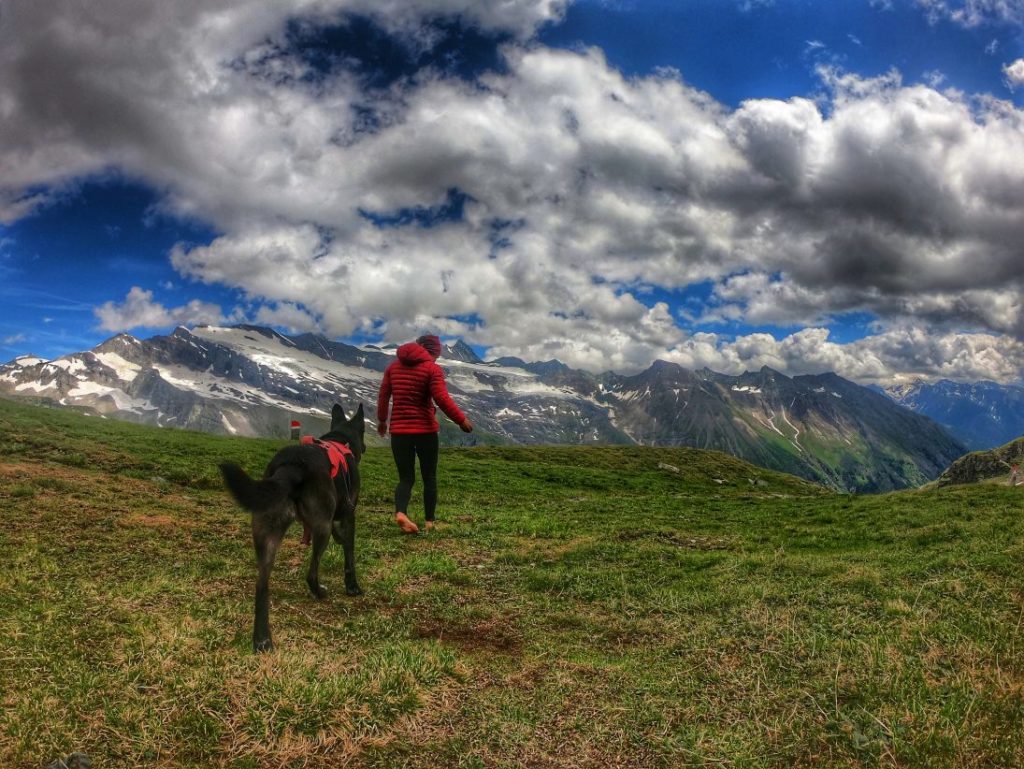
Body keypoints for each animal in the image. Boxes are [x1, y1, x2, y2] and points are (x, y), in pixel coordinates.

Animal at [219, 403, 364, 651]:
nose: (364, 447)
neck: (340, 438)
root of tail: (293, 465)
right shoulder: (347, 515)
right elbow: (349, 555)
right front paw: (352, 587)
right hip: (321, 527)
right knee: (311, 574)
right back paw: (320, 593)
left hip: (266, 531)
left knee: (261, 585)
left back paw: (262, 639)